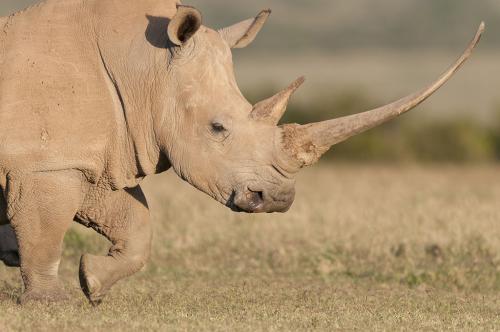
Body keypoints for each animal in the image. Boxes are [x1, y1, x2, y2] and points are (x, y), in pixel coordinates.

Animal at [0, 0, 482, 304]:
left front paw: (93, 282)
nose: (278, 199)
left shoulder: (89, 156)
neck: (143, 66)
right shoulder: (50, 163)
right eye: (218, 128)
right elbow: (47, 231)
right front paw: (50, 302)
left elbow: (136, 224)